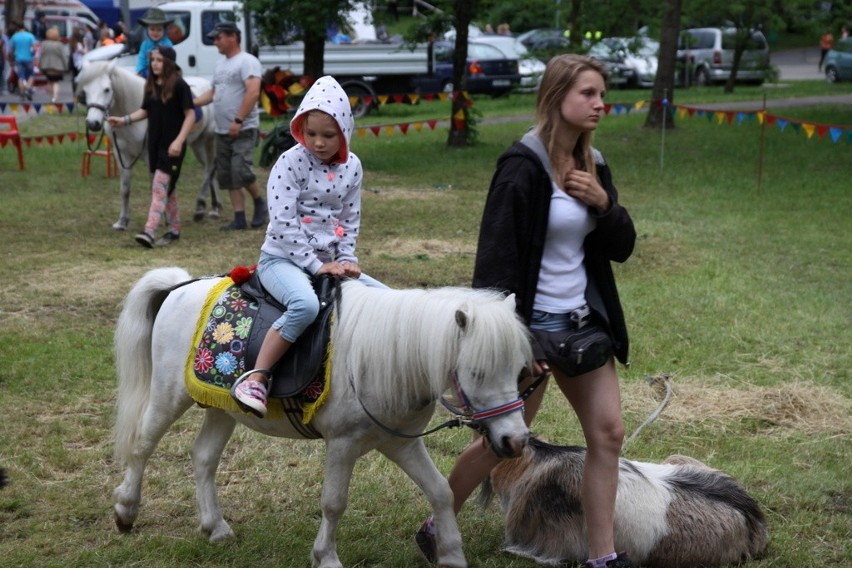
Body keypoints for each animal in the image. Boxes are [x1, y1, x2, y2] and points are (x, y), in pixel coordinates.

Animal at [76, 60, 221, 231]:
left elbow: (156, 187)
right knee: (210, 169)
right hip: (197, 144)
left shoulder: (151, 156)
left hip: (209, 139)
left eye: (107, 89)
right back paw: (214, 207)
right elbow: (125, 189)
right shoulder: (122, 156)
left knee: (210, 169)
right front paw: (122, 222)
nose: (93, 123)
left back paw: (202, 208)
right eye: (85, 90)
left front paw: (162, 219)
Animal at [113, 268, 532, 568]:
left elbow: (441, 491)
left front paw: (452, 555)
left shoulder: (400, 442)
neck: (389, 357)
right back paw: (125, 510)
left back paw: (215, 528)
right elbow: (334, 503)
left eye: (520, 370)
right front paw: (326, 558)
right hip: (169, 394)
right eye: (476, 371)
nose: (515, 440)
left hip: (221, 408)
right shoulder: (343, 444)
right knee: (141, 445)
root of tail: (180, 286)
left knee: (203, 458)